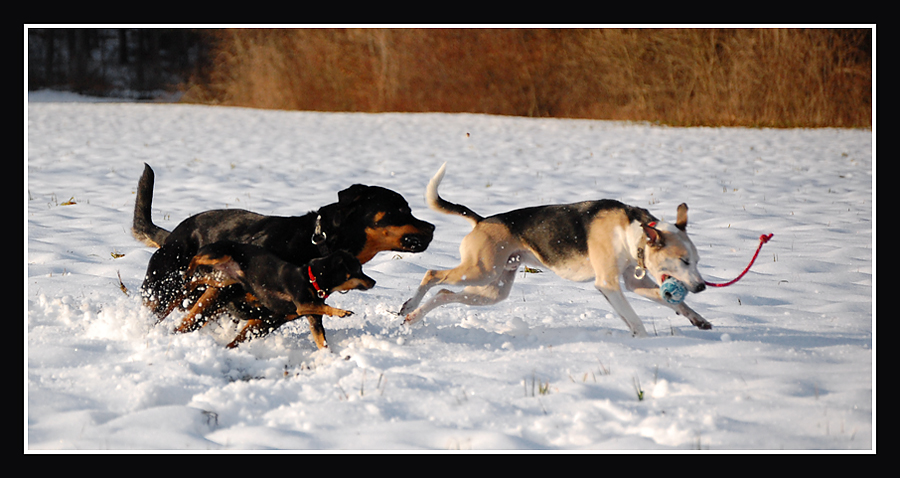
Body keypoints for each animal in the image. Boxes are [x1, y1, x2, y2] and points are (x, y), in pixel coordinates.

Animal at [171, 243, 374, 348]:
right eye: (358, 270)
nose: (373, 282)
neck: (312, 279)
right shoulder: (302, 305)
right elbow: (325, 307)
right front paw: (342, 312)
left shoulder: (313, 318)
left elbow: (321, 339)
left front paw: (327, 357)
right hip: (219, 256)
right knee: (196, 259)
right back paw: (188, 269)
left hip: (222, 280)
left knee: (200, 279)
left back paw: (188, 280)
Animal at [400, 164, 712, 336]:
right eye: (683, 261)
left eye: (697, 260)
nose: (701, 287)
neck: (630, 231)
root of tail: (483, 220)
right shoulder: (609, 285)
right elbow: (634, 320)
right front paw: (645, 343)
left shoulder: (634, 283)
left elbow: (676, 304)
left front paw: (698, 319)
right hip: (480, 271)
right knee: (432, 275)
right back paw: (410, 306)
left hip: (491, 289)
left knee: (443, 293)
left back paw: (413, 317)